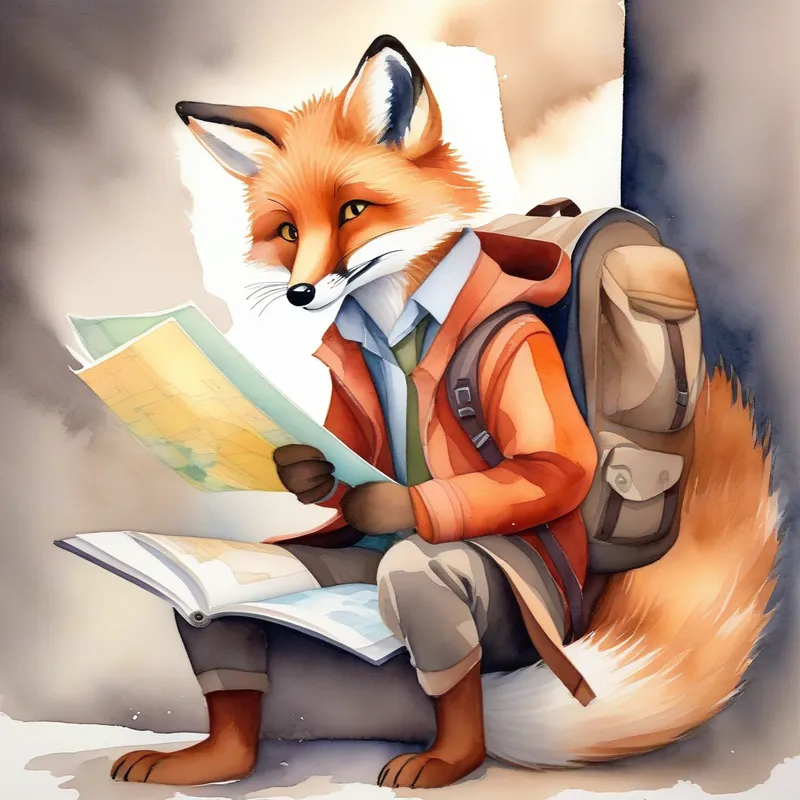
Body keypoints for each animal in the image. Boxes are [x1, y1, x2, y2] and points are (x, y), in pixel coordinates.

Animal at [111, 34, 779, 788]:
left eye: (352, 211)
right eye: (287, 230)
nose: (301, 294)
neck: (396, 321)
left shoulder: (520, 345)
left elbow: (553, 467)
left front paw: (390, 502)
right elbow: (347, 450)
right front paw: (308, 469)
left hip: (515, 618)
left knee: (423, 582)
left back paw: (449, 755)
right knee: (212, 620)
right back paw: (217, 756)